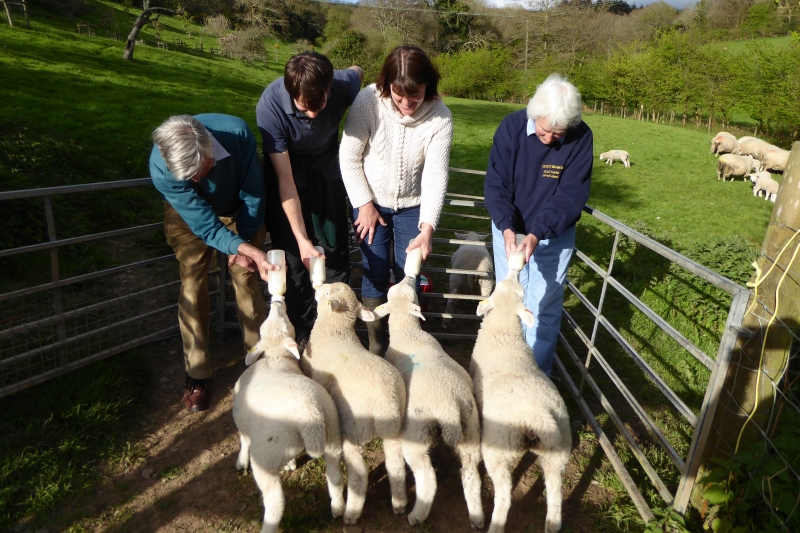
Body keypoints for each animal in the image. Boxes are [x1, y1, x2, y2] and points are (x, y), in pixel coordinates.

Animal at [233, 300, 345, 533]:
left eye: (283, 321)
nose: (277, 302)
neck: (276, 357)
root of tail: (310, 413)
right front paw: (290, 464)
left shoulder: (241, 419)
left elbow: (243, 440)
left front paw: (240, 462)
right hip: (332, 435)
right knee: (336, 477)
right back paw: (338, 509)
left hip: (265, 457)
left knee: (275, 502)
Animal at [301, 282, 407, 525]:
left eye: (328, 293)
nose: (317, 287)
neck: (336, 331)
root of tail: (387, 401)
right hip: (395, 430)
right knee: (396, 466)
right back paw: (399, 505)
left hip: (354, 430)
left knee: (360, 475)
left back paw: (351, 514)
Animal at [373, 279, 484, 528]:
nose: (408, 278)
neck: (409, 332)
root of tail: (449, 406)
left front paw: (399, 504)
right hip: (470, 427)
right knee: (471, 472)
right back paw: (477, 517)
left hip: (417, 433)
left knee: (427, 477)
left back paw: (416, 515)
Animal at [470, 273, 571, 533]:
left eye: (520, 292)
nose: (511, 274)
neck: (504, 331)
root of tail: (536, 415)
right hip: (558, 449)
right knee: (555, 490)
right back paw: (552, 524)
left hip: (498, 450)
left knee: (504, 496)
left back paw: (495, 526)